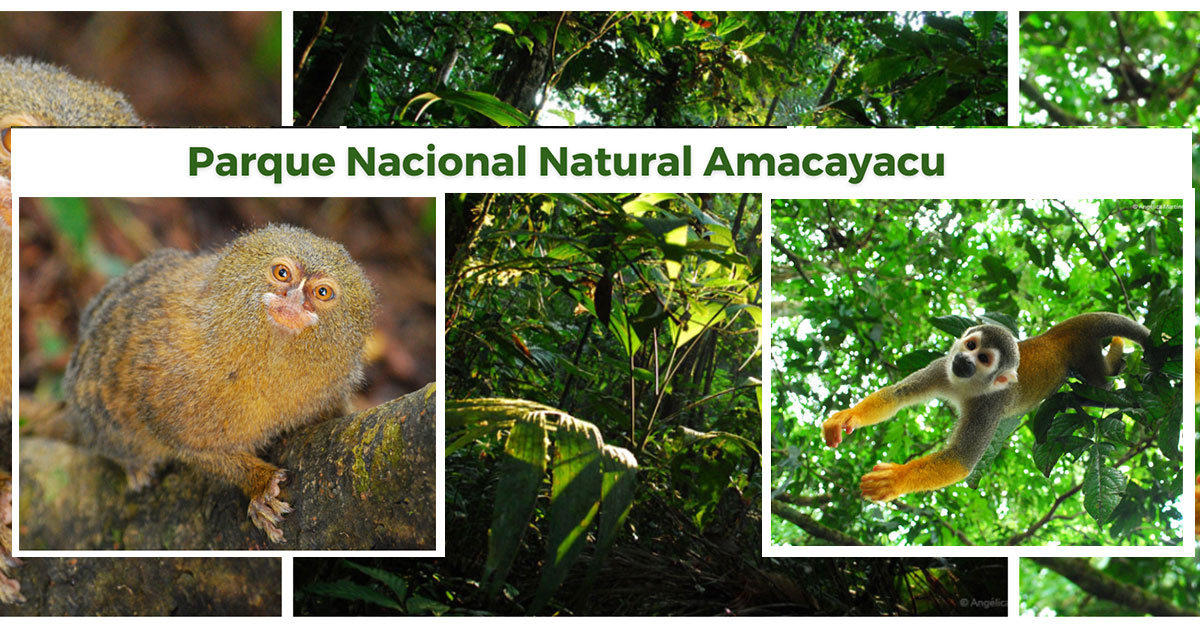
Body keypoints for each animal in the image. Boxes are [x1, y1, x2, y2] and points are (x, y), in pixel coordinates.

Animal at [825, 309, 1152, 501]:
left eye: (983, 359)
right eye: (971, 346)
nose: (965, 360)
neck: (967, 385)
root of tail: (1060, 334)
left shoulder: (990, 406)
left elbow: (960, 460)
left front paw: (896, 479)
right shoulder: (943, 367)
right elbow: (896, 395)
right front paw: (848, 417)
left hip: (1085, 356)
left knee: (1101, 386)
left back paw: (1112, 367)